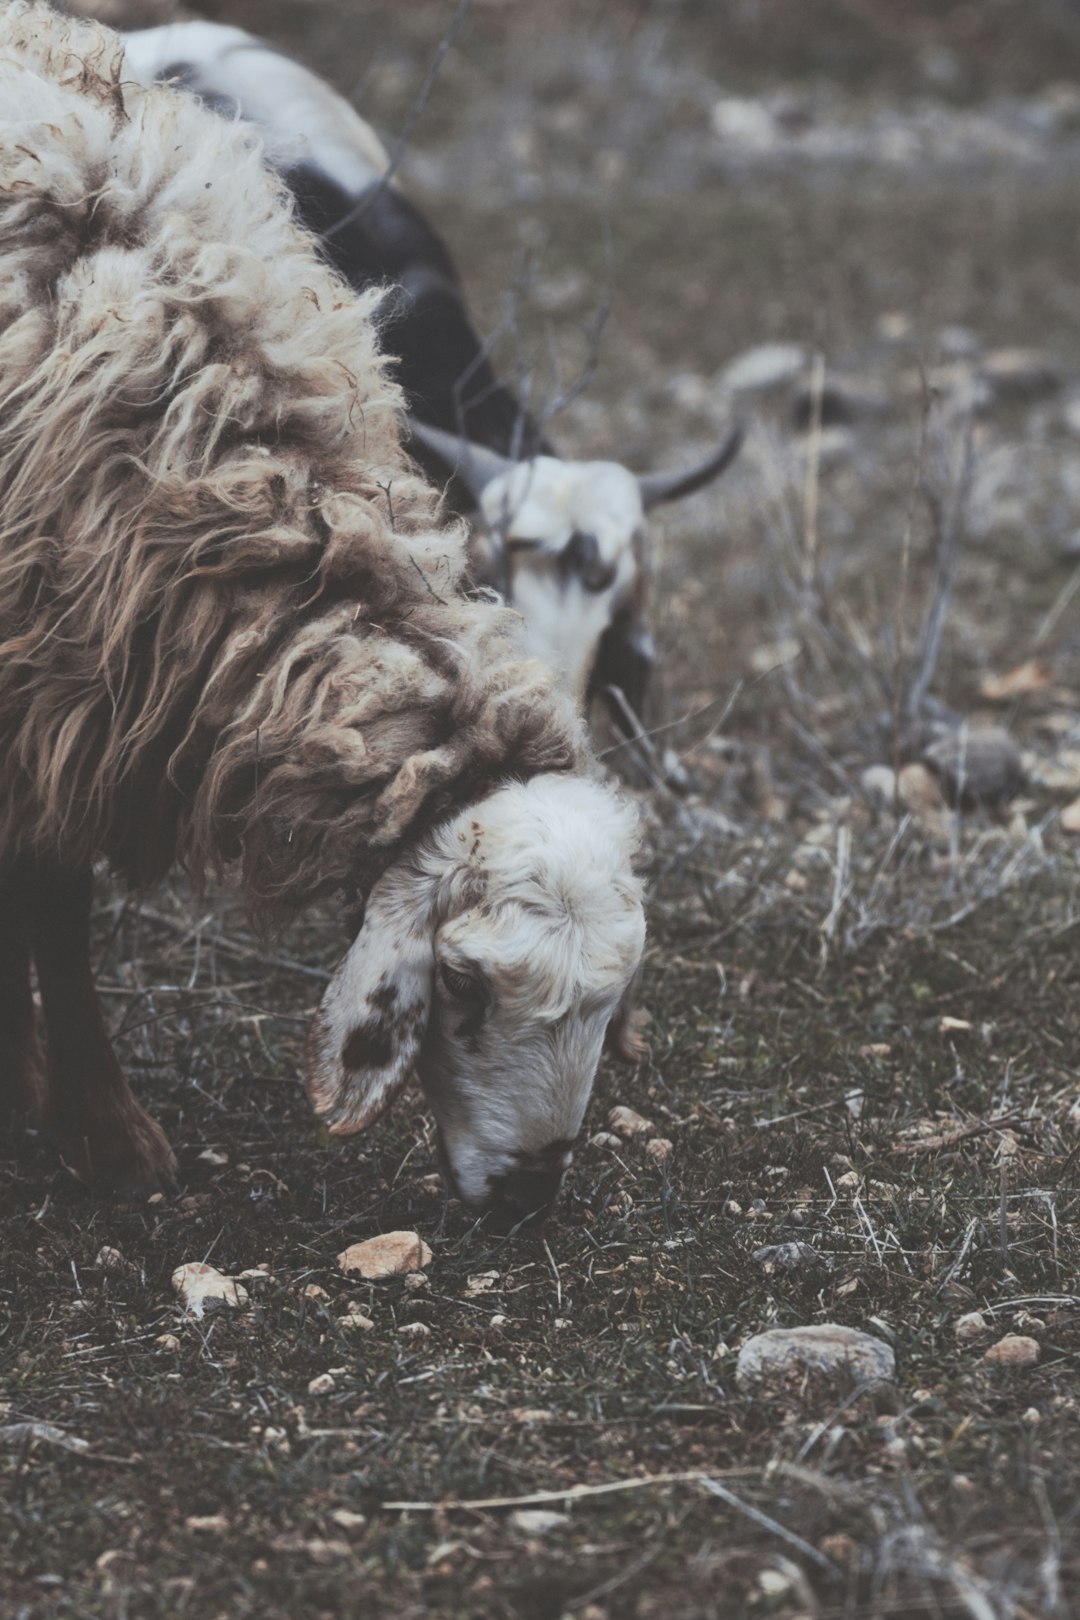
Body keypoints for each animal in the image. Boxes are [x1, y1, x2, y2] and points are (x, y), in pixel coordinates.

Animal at [0, 3, 641, 1224]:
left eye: (612, 1000)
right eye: (462, 982)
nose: (531, 1195)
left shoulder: (68, 686)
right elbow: (48, 905)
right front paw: (96, 1128)